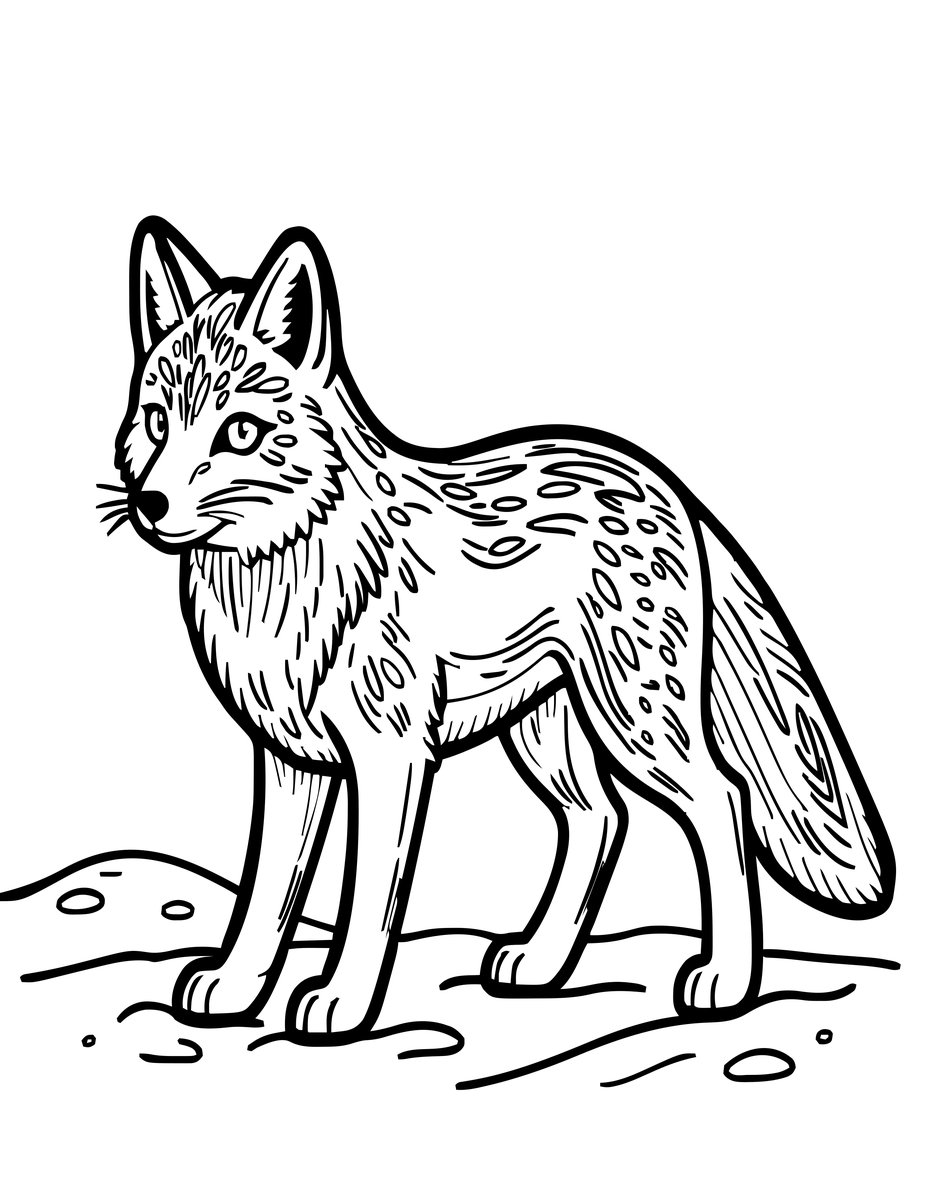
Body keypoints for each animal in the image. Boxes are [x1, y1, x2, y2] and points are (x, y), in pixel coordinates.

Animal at [105, 216, 894, 1041]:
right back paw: (542, 964)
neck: (285, 577)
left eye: (239, 432)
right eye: (157, 423)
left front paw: (343, 1001)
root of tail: (664, 482)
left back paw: (726, 979)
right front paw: (235, 987)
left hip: (635, 724)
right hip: (548, 733)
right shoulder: (292, 761)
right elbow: (266, 895)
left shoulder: (391, 756)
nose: (150, 504)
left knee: (721, 800)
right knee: (600, 820)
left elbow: (368, 900)